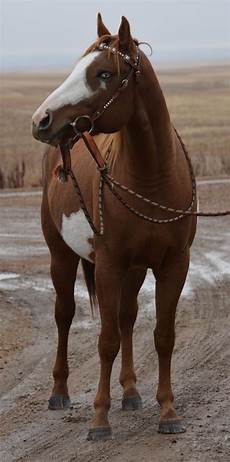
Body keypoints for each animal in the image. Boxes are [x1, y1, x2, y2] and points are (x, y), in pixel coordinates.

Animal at [31, 15, 196, 440]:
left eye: (104, 74)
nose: (41, 120)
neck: (151, 178)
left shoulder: (174, 265)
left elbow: (163, 336)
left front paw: (167, 411)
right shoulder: (108, 265)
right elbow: (105, 340)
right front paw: (99, 419)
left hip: (135, 270)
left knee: (127, 318)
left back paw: (132, 392)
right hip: (60, 255)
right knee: (65, 314)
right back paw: (60, 393)